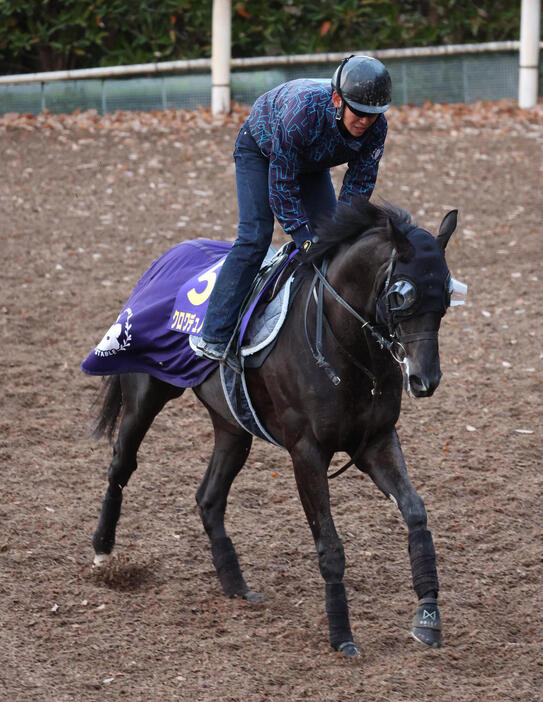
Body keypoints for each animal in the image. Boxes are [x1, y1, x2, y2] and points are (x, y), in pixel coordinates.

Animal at [88, 199, 464, 660]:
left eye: (444, 297)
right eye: (401, 296)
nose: (424, 379)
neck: (342, 346)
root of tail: (168, 255)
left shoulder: (375, 441)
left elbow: (415, 512)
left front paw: (428, 617)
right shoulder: (306, 453)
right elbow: (330, 547)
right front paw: (341, 634)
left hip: (232, 427)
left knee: (208, 498)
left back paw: (236, 585)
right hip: (145, 393)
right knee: (121, 466)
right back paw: (103, 554)